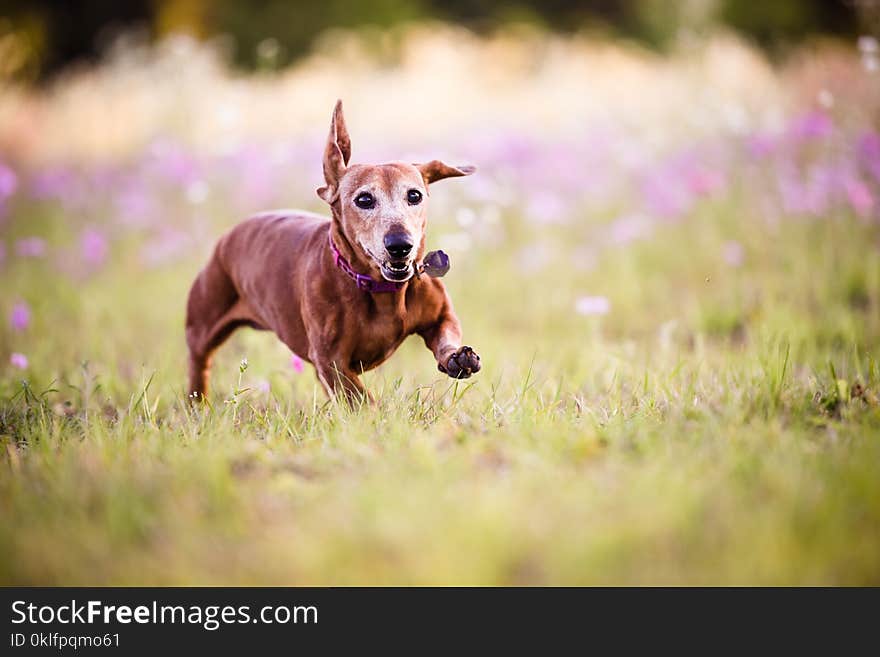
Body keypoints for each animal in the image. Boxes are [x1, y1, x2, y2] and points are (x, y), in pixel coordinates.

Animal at [185, 100, 482, 402]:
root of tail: (228, 237)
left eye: (414, 195)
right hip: (202, 325)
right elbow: (361, 399)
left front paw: (457, 357)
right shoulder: (331, 361)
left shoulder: (441, 315)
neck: (379, 289)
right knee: (200, 362)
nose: (400, 245)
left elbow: (446, 333)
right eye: (364, 199)